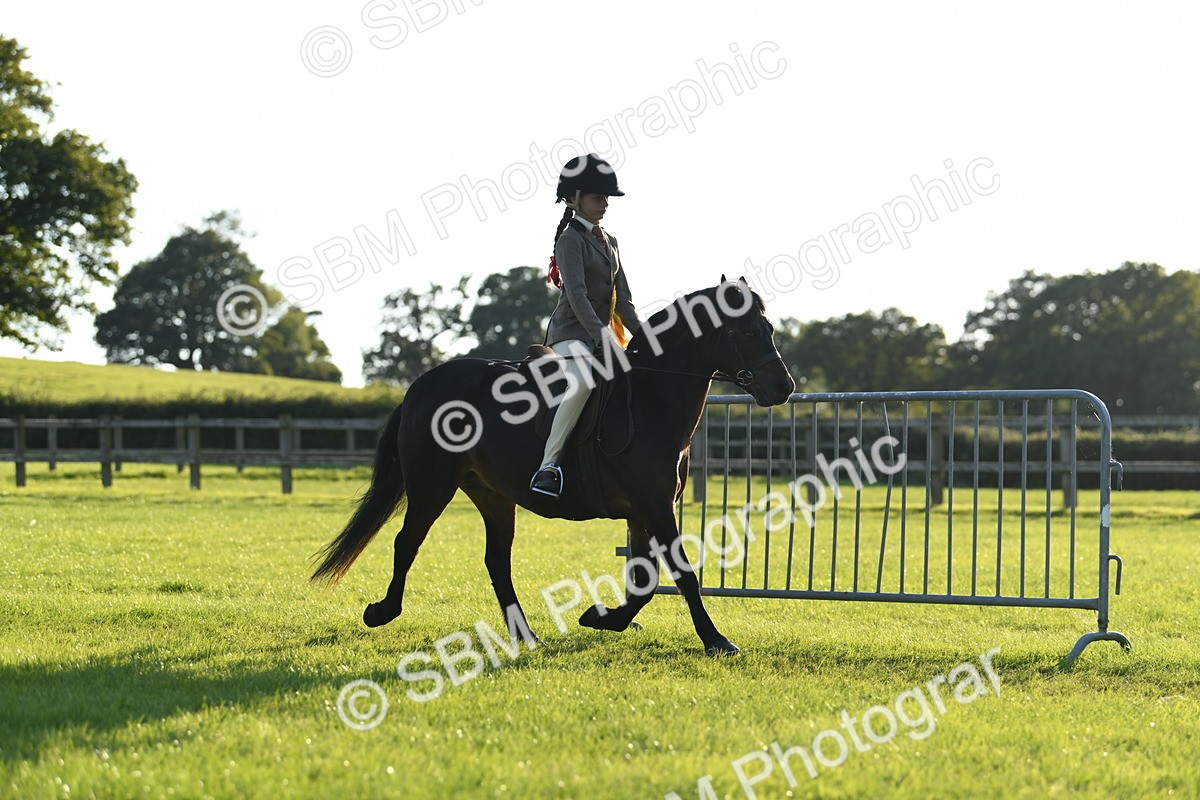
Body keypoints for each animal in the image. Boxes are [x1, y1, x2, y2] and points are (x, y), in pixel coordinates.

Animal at [310, 280, 796, 655]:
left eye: (770, 327)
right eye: (747, 331)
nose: (784, 387)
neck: (651, 398)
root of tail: (421, 386)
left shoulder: (645, 510)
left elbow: (645, 580)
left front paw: (602, 618)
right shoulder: (654, 507)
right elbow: (683, 574)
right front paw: (716, 640)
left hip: (492, 494)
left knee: (496, 561)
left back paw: (526, 636)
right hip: (433, 486)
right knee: (407, 543)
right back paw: (382, 611)